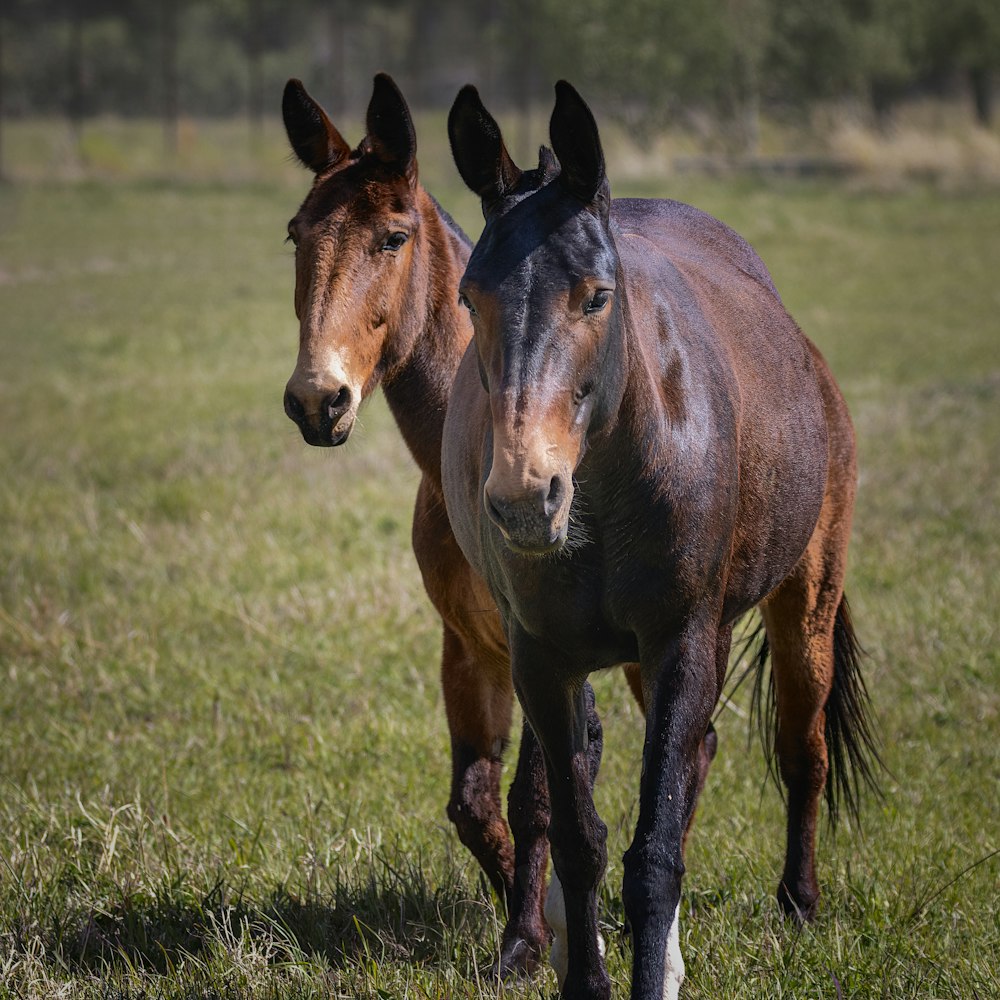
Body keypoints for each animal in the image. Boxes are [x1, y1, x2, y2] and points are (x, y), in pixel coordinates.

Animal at [278, 74, 660, 972]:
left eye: (392, 238)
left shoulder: (544, 650)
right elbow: (476, 804)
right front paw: (541, 919)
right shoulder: (470, 646)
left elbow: (539, 794)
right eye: (295, 235)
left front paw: (530, 938)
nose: (317, 400)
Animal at [448, 82, 884, 996]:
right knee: (700, 756)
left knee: (802, 751)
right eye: (471, 299)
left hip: (803, 605)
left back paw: (798, 903)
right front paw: (587, 975)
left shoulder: (684, 639)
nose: (524, 498)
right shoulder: (542, 661)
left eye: (595, 296)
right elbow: (580, 838)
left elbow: (652, 854)